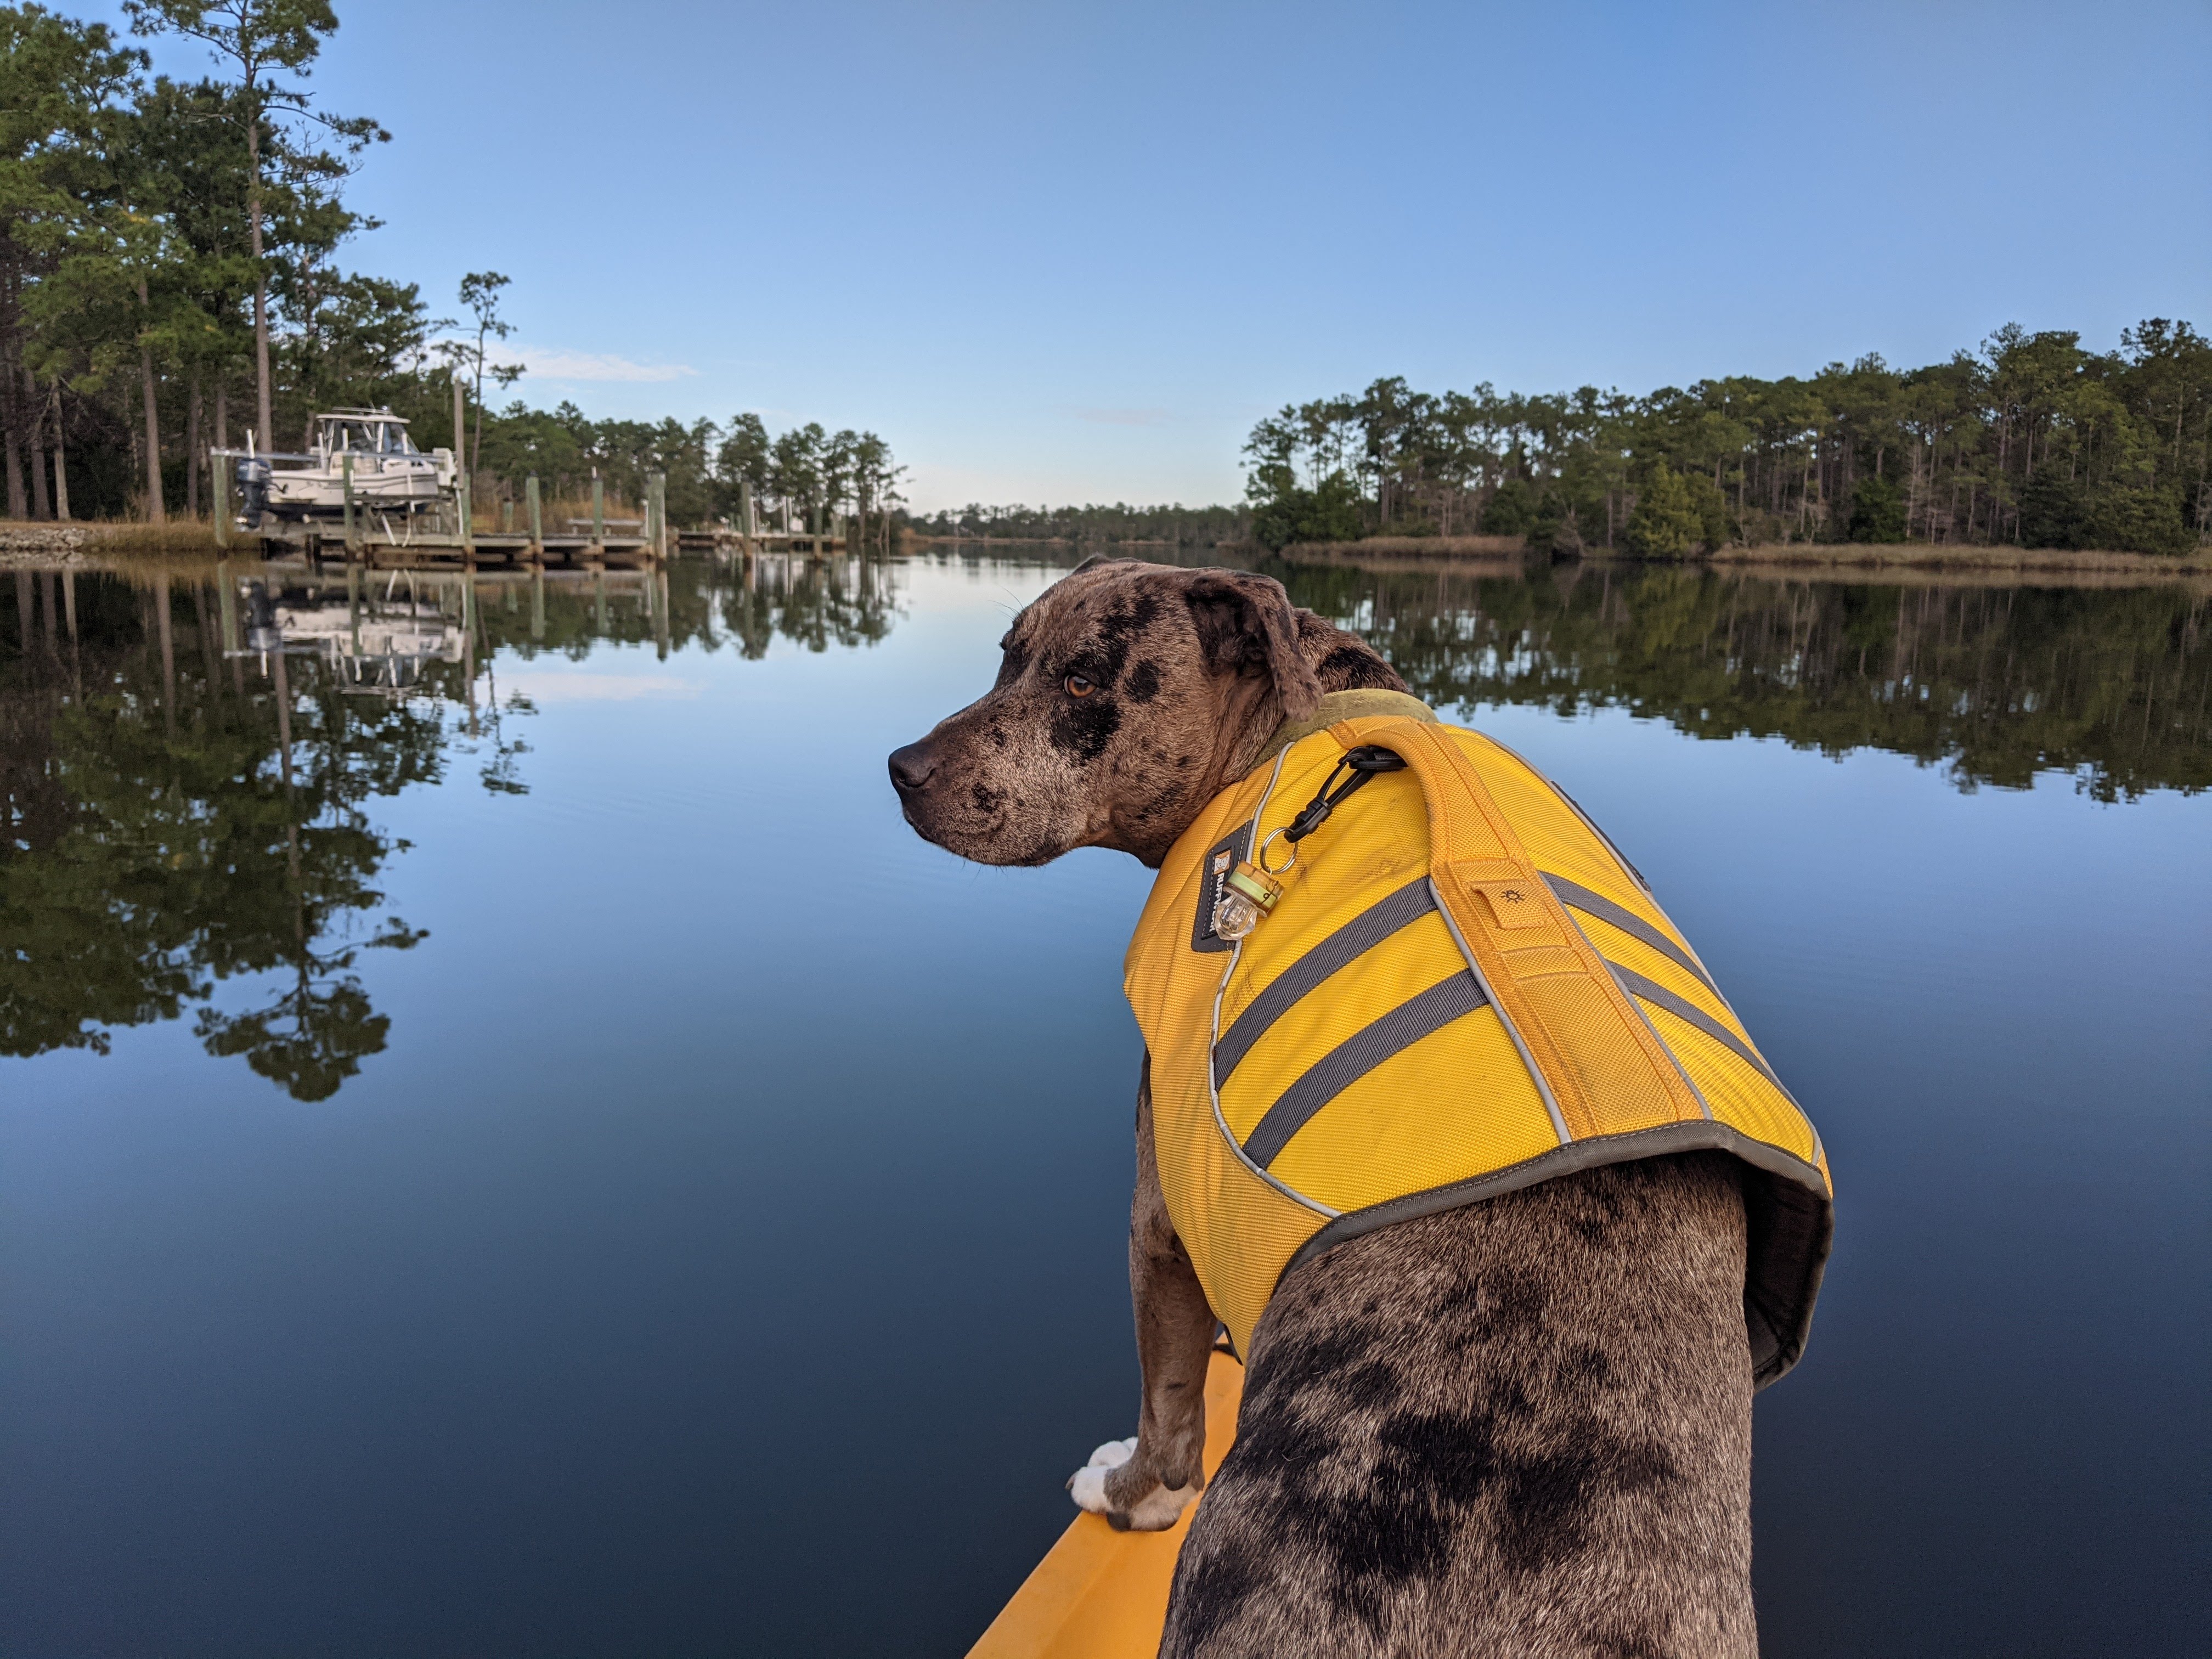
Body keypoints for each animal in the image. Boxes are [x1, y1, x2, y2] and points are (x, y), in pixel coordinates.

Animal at [889, 566, 1769, 1654]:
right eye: (1008, 657)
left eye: (1085, 679)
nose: (901, 768)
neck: (1285, 733)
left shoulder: (1156, 1221)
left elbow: (1169, 1422)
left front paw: (1130, 1496)